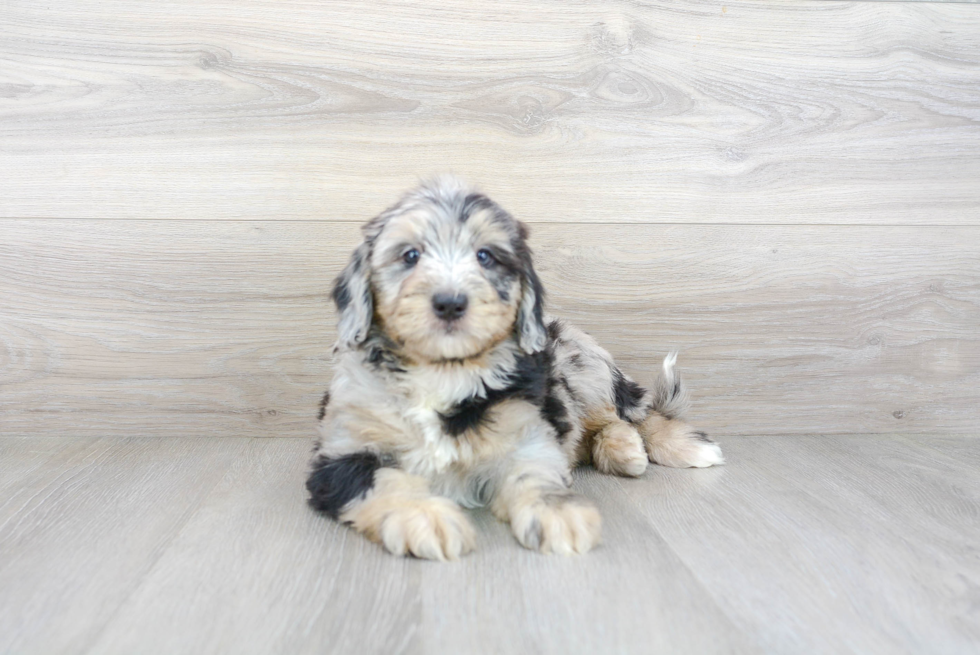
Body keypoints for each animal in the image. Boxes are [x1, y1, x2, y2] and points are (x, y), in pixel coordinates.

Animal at [310, 177, 724, 560]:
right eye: (410, 255)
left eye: (485, 256)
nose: (450, 302)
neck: (444, 371)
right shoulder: (341, 450)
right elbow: (382, 480)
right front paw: (427, 518)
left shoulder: (528, 432)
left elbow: (534, 473)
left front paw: (560, 515)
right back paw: (622, 450)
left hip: (582, 361)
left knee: (629, 413)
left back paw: (668, 446)